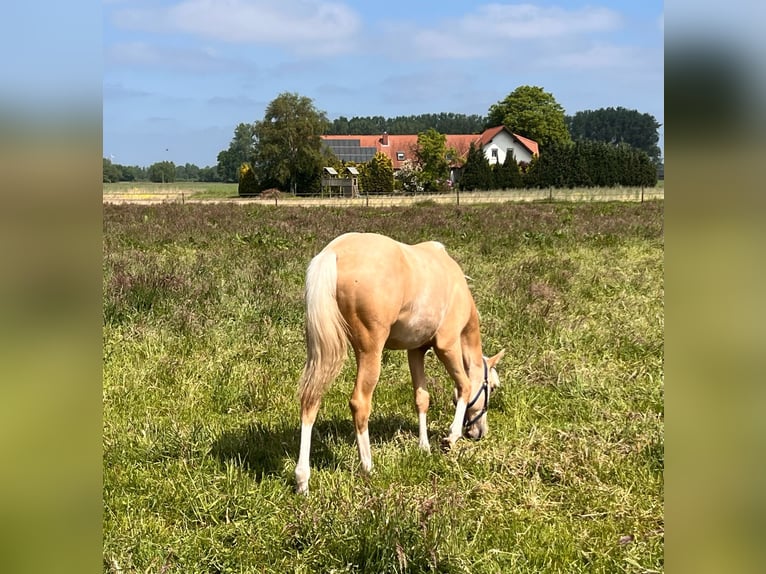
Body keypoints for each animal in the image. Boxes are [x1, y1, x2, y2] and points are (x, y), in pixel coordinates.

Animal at [294, 233, 504, 496]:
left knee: (310, 401)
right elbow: (464, 386)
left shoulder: (416, 351)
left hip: (321, 353)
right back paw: (368, 467)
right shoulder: (447, 345)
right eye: (492, 387)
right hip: (370, 351)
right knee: (360, 403)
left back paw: (302, 479)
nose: (479, 433)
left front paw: (424, 447)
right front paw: (450, 438)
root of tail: (333, 252)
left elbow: (422, 398)